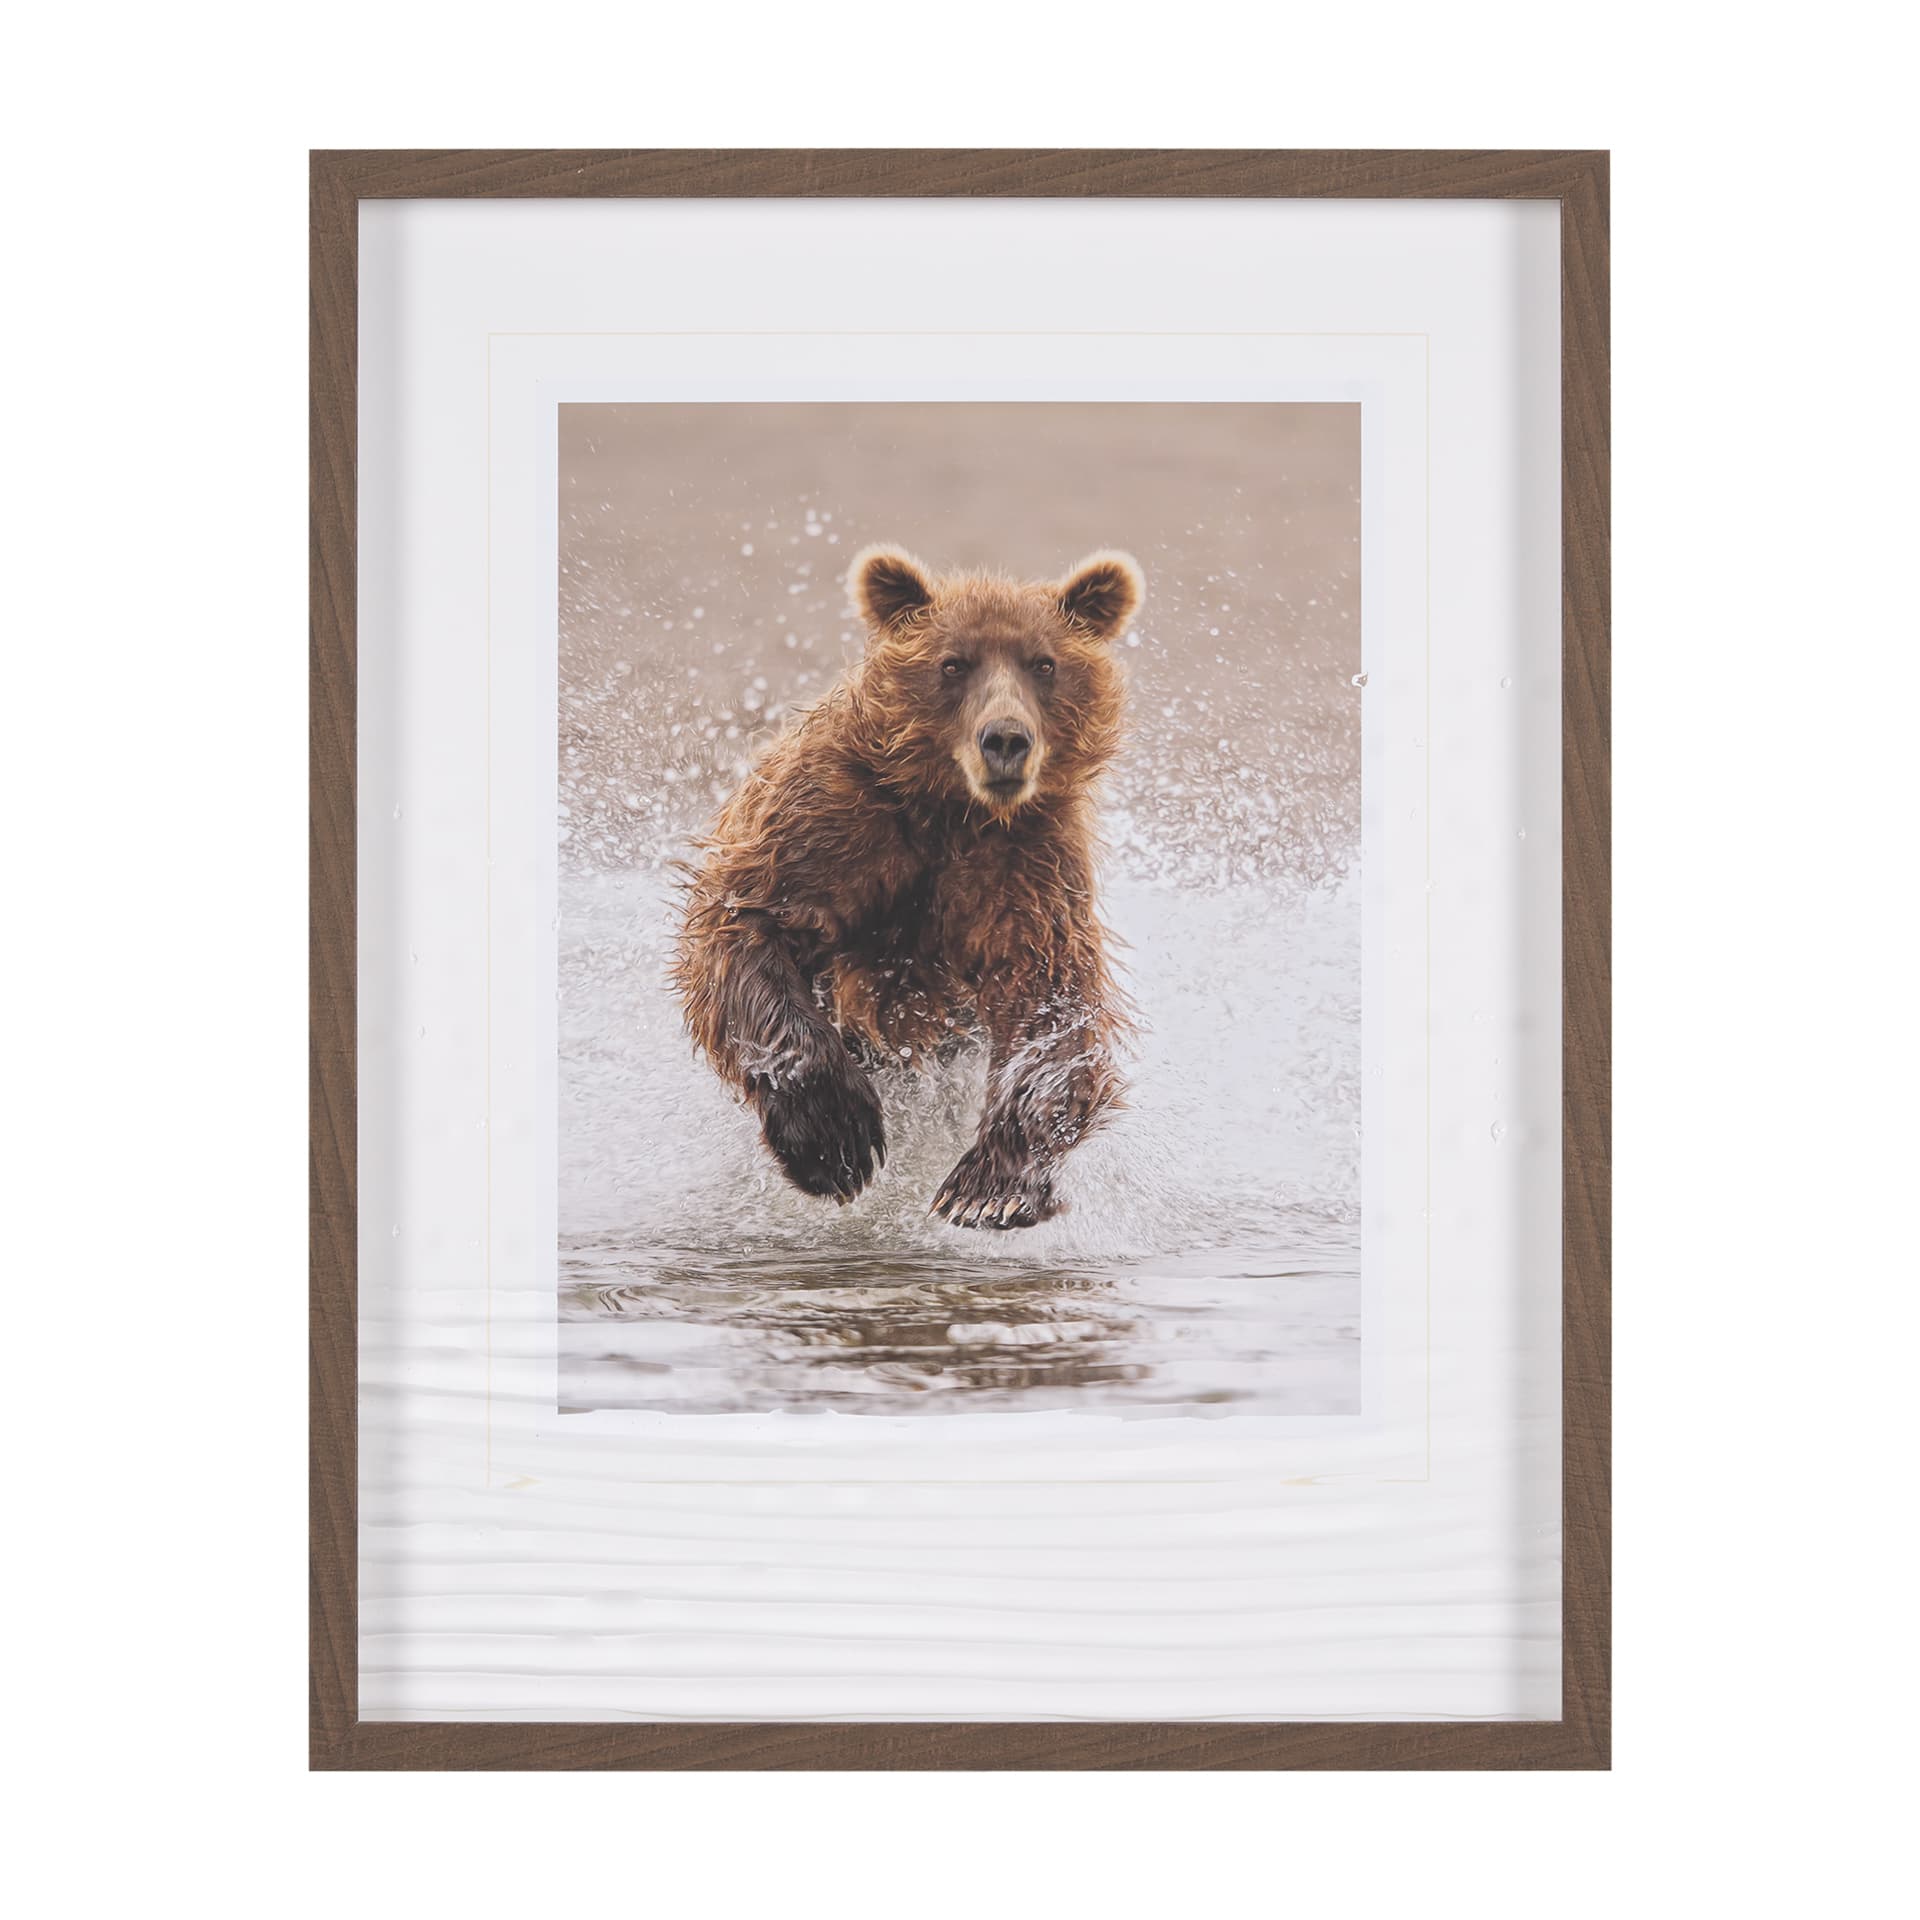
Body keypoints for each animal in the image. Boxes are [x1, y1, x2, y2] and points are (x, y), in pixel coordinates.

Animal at [672, 544, 1142, 1228]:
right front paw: (835, 1140)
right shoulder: (831, 825)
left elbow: (1050, 1001)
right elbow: (746, 926)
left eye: (1044, 663)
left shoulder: (1025, 868)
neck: (951, 810)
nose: (1006, 739)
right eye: (953, 663)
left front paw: (988, 1188)